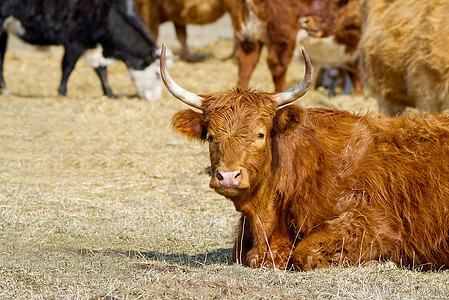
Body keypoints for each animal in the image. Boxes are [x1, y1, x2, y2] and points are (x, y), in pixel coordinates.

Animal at [0, 0, 161, 101]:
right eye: (157, 74)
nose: (155, 98)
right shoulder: (75, 42)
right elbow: (67, 67)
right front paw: (62, 92)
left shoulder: (92, 44)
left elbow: (101, 70)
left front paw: (110, 93)